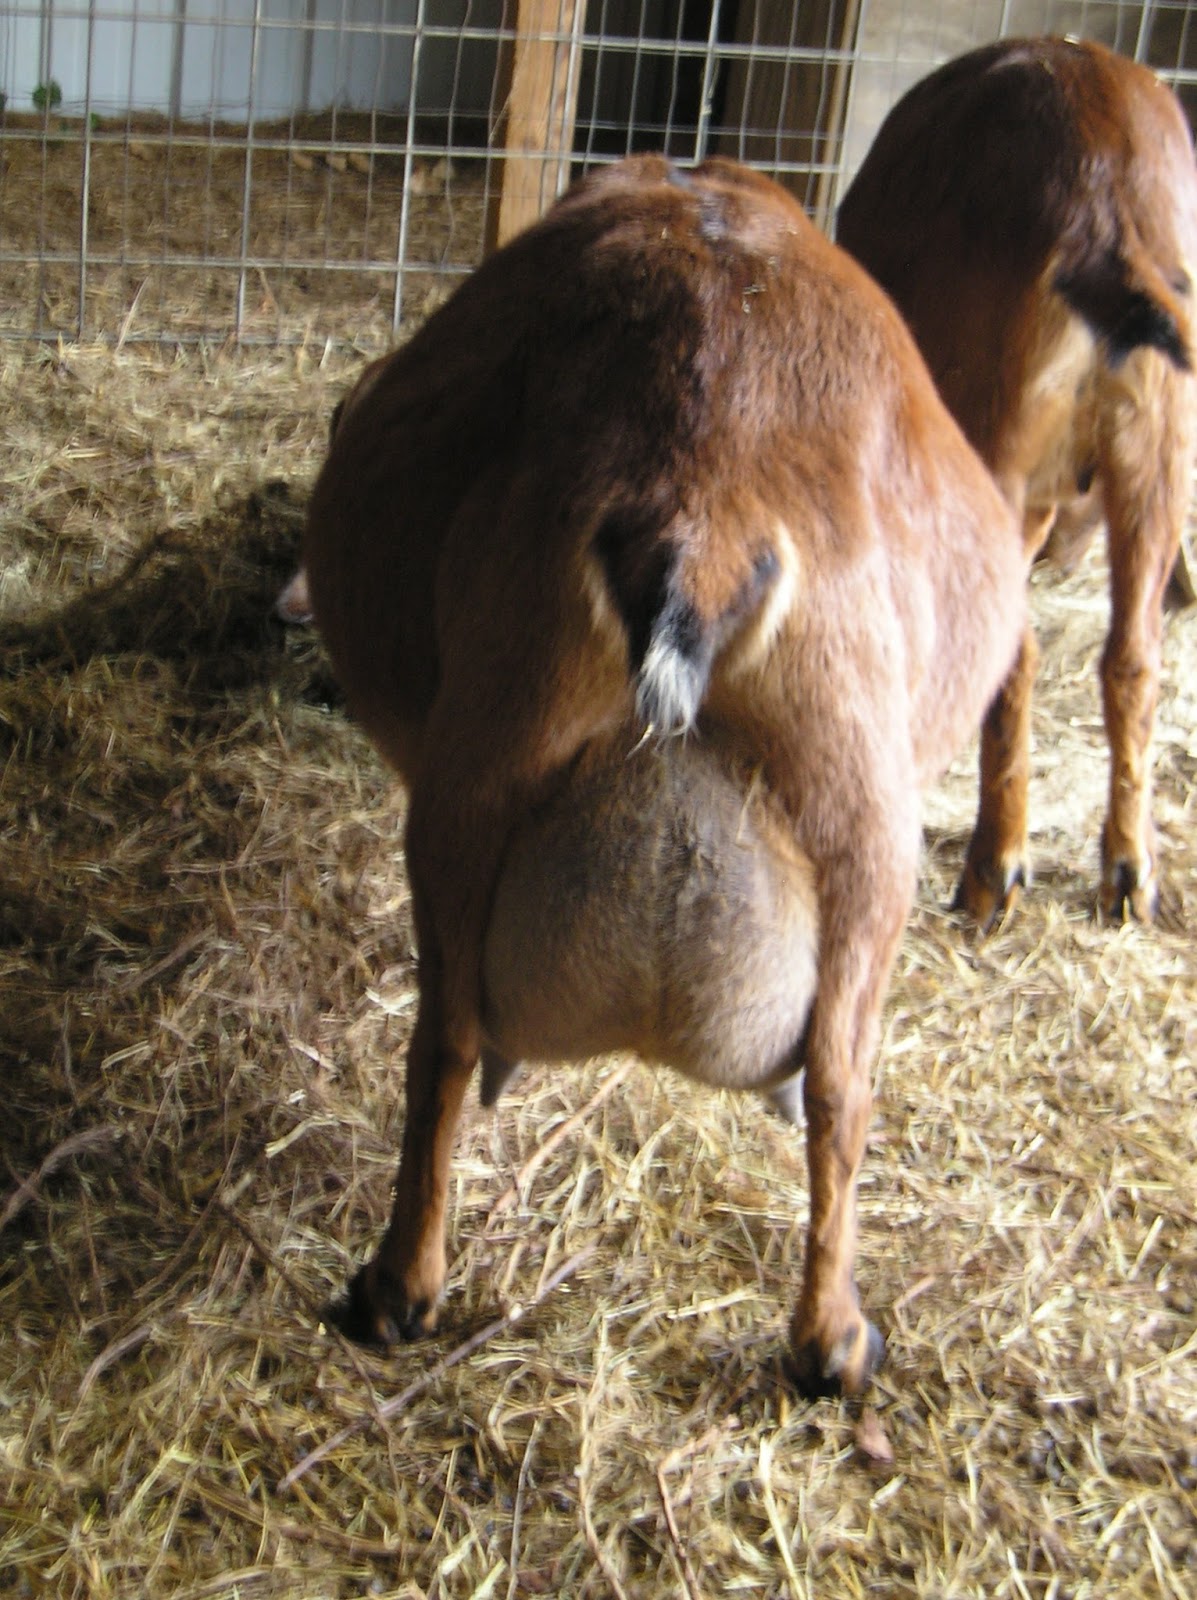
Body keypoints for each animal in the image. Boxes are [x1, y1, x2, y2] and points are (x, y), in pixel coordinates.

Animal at [838, 35, 1197, 927]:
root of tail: (1109, 206)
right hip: (1159, 452)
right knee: (1133, 656)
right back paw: (1129, 870)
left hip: (996, 430)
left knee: (1015, 644)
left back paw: (991, 866)